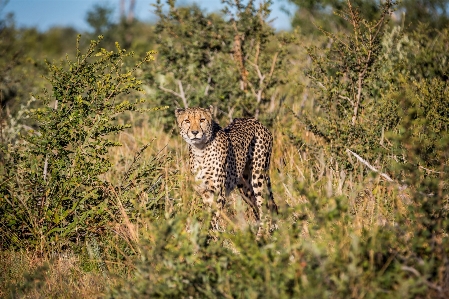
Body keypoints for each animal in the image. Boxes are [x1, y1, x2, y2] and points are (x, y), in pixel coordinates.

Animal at [175, 105, 276, 239]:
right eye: (187, 121)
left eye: (202, 120)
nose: (195, 132)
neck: (200, 150)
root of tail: (255, 121)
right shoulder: (205, 193)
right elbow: (209, 215)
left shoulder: (219, 192)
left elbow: (212, 218)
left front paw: (208, 236)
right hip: (245, 188)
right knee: (258, 208)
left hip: (258, 177)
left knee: (265, 207)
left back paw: (260, 237)